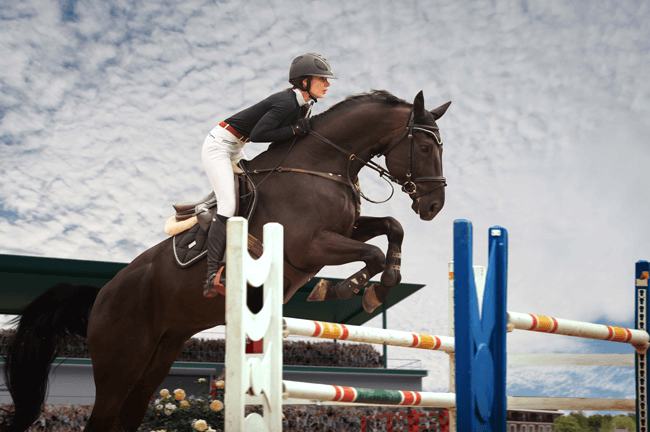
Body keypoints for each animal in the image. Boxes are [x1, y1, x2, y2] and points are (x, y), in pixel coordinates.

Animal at [1, 89, 446, 430]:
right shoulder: (309, 246)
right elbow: (372, 251)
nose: (434, 207)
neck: (323, 165)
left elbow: (391, 228)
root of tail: (101, 296)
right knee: (102, 418)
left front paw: (376, 284)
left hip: (157, 359)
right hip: (120, 362)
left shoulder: (345, 229)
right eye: (425, 147)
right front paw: (349, 289)